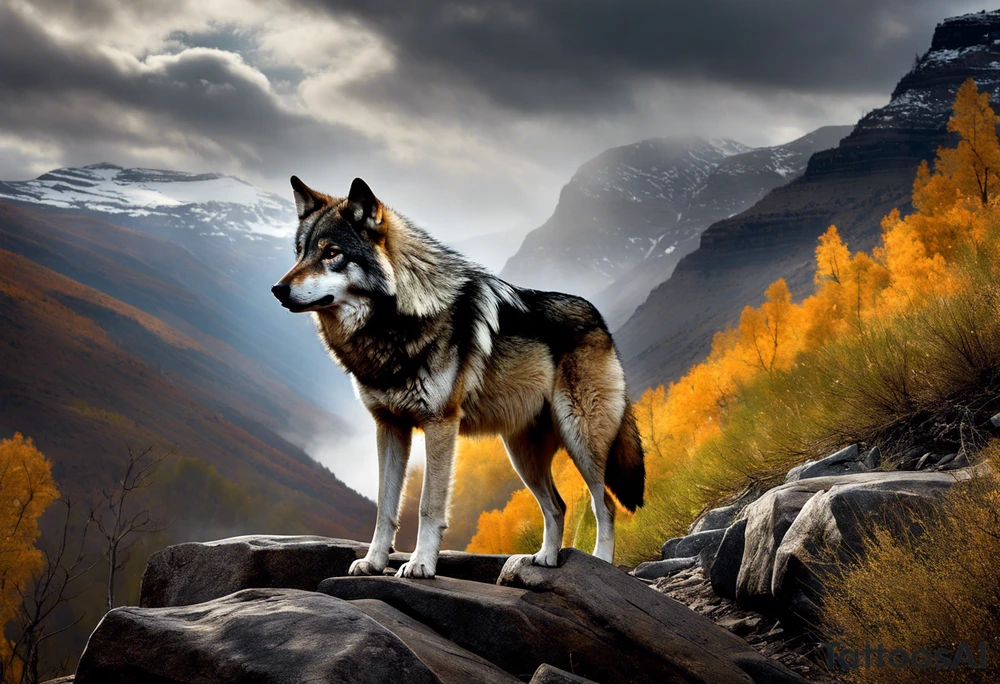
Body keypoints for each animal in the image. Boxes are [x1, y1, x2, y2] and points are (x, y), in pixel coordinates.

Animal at [271, 176, 645, 578]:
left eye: (331, 253)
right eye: (300, 252)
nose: (277, 289)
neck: (396, 323)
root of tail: (599, 318)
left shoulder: (440, 425)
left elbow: (428, 507)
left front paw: (420, 564)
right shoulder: (388, 427)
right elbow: (385, 507)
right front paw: (374, 562)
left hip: (581, 440)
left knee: (604, 505)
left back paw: (601, 561)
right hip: (522, 455)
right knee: (557, 506)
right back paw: (545, 558)